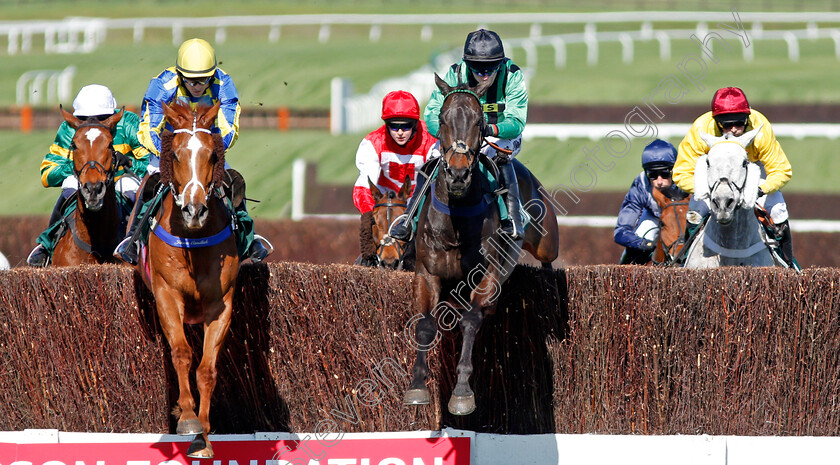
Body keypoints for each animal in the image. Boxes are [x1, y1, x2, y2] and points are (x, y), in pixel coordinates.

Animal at [136, 101, 238, 456]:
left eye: (212, 155)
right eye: (176, 154)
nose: (195, 211)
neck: (193, 240)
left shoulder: (220, 304)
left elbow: (207, 368)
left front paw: (203, 435)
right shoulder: (167, 294)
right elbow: (181, 353)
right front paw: (188, 418)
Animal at [406, 74, 560, 416]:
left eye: (479, 121)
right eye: (442, 118)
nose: (458, 174)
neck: (457, 219)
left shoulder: (487, 274)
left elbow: (471, 320)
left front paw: (462, 391)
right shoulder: (426, 272)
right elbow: (425, 324)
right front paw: (417, 386)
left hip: (546, 241)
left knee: (547, 261)